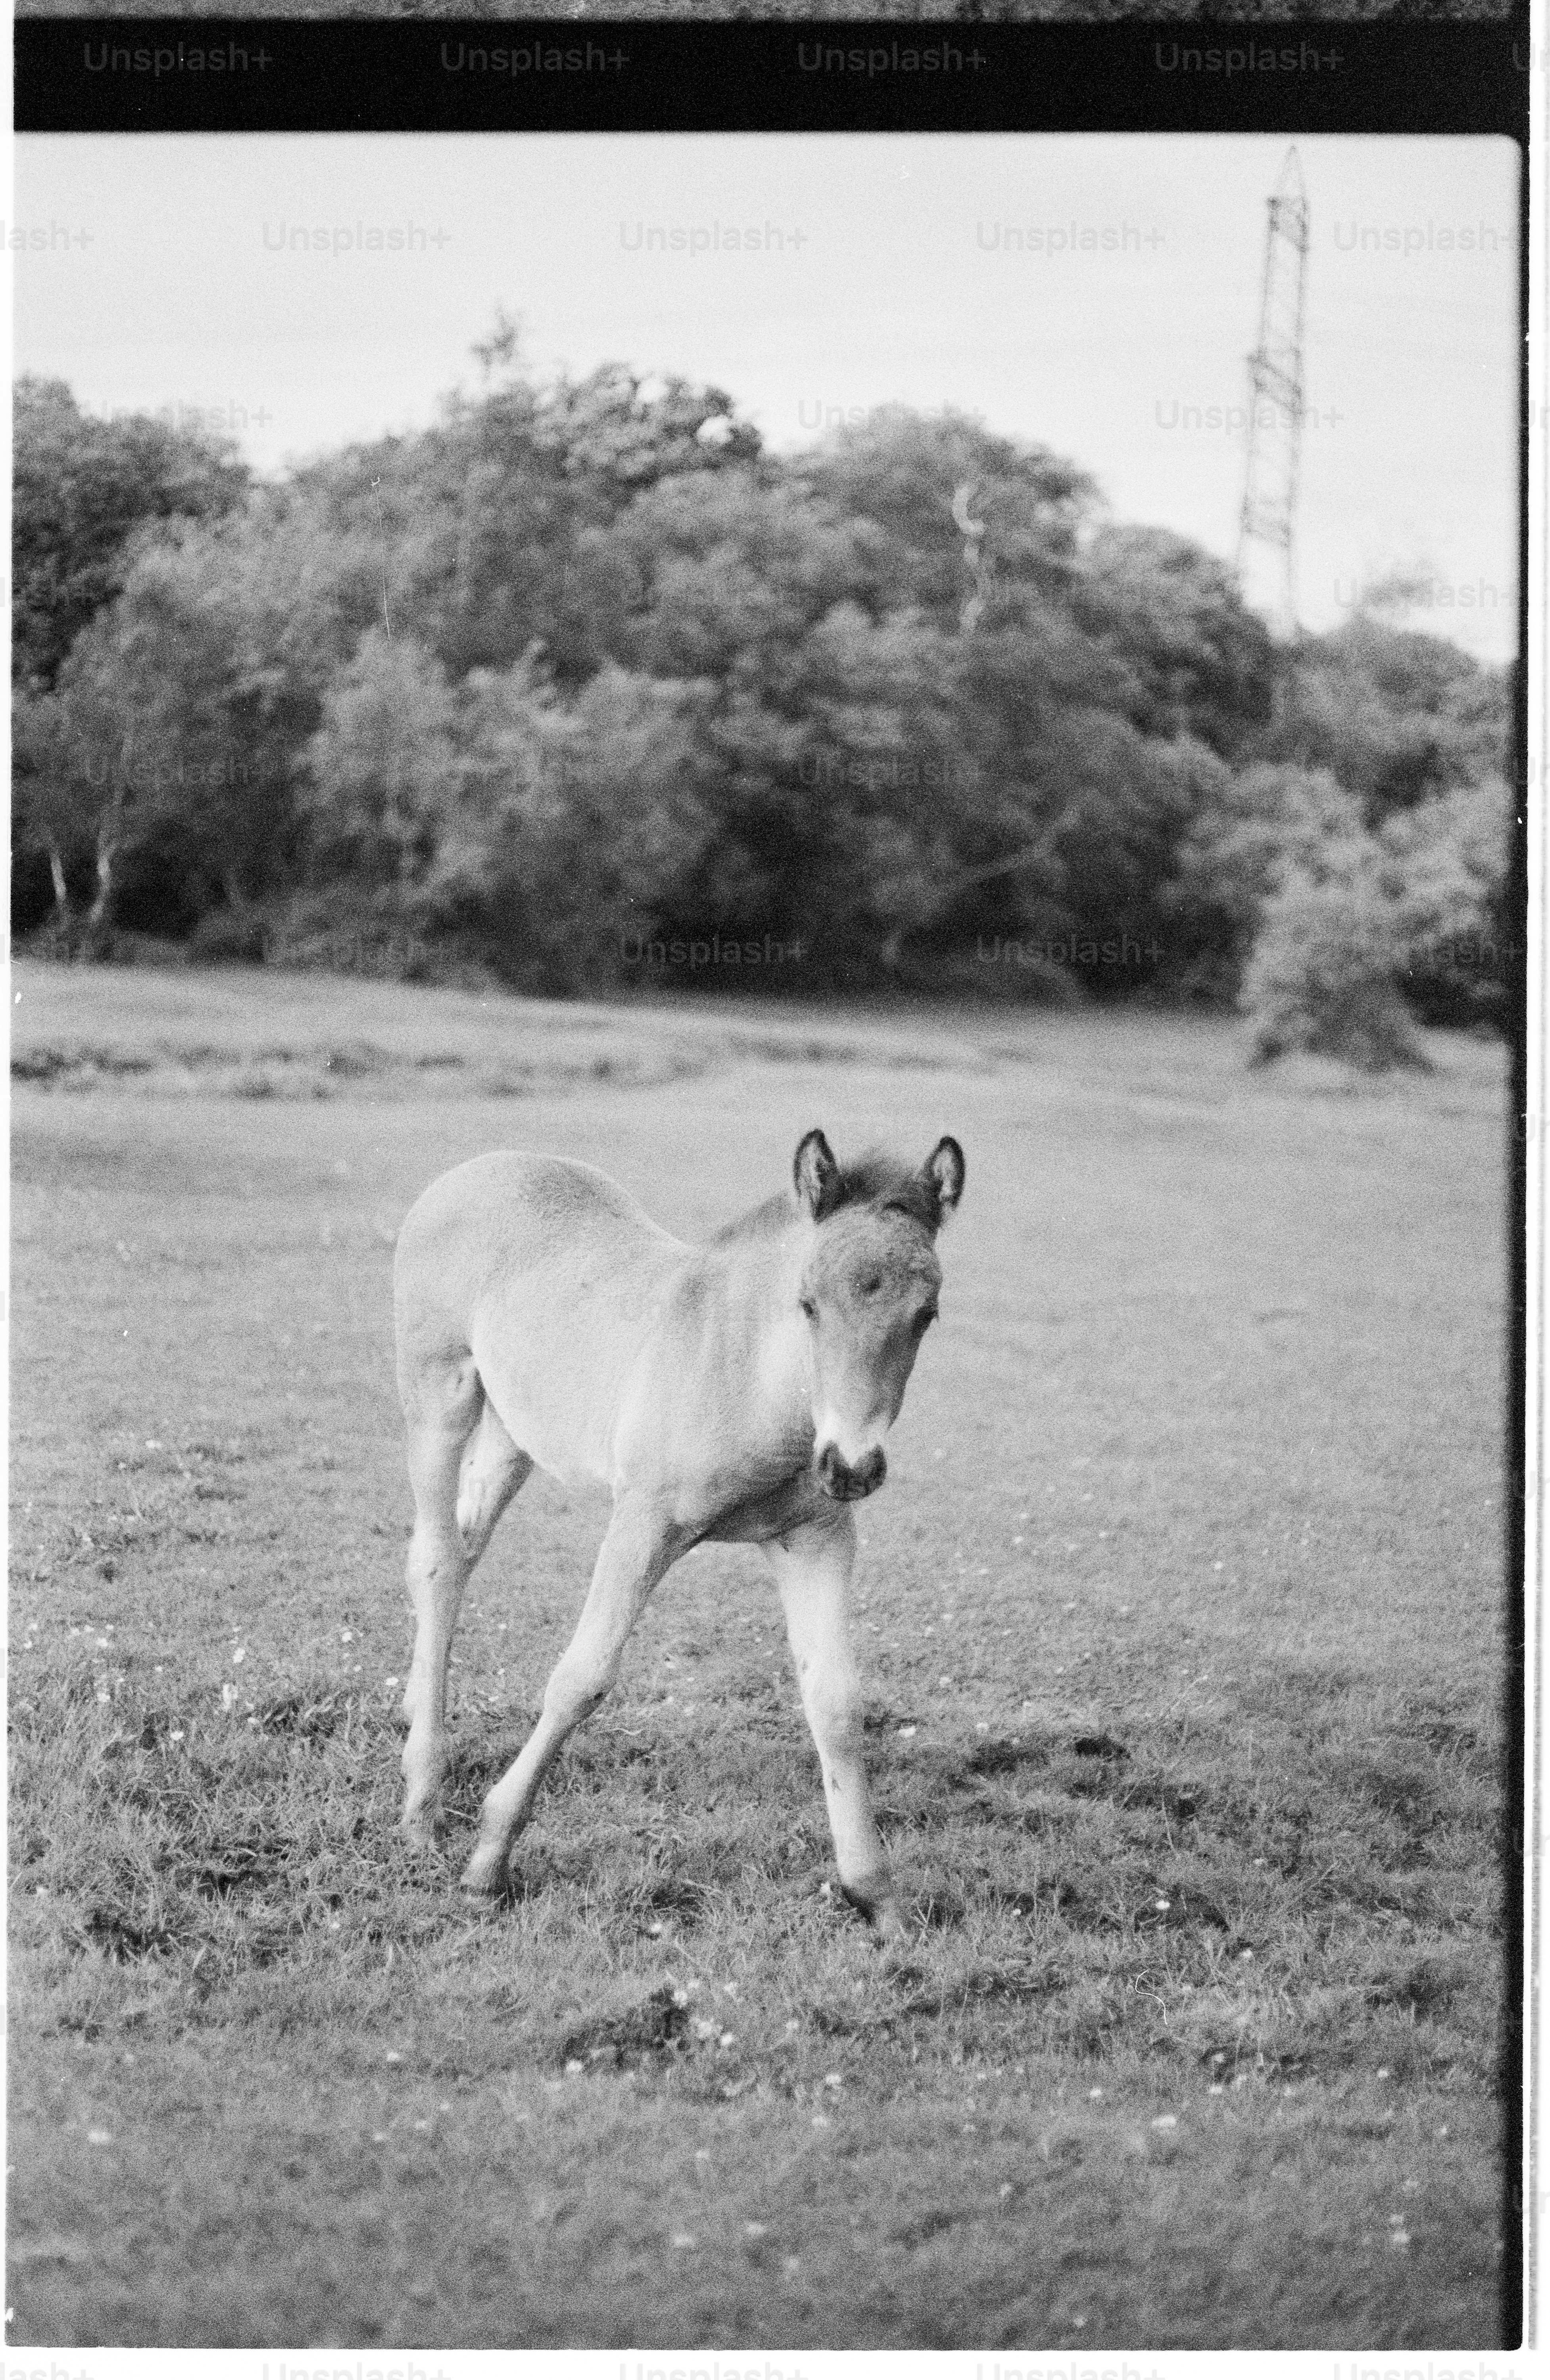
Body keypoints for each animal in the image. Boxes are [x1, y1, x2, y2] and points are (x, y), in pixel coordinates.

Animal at [391, 1126, 965, 1937]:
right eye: (808, 1304)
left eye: (927, 1314)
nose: (851, 1466)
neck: (751, 1381)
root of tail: (475, 1168)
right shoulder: (643, 1522)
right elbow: (581, 1679)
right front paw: (488, 1863)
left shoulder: (815, 1536)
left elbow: (836, 1704)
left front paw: (877, 1897)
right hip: (438, 1396)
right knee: (437, 1561)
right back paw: (421, 1806)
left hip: (515, 1432)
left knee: (461, 1550)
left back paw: (418, 1728)